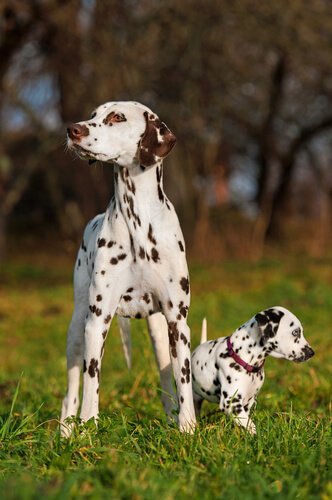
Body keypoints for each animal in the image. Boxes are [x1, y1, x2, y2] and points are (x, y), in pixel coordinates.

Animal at [60, 102, 196, 438]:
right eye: (93, 115)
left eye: (117, 117)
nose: (73, 129)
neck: (138, 222)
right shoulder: (97, 321)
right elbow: (91, 383)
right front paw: (88, 430)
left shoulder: (178, 323)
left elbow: (183, 381)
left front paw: (188, 428)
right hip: (76, 330)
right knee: (71, 391)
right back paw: (66, 432)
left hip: (160, 333)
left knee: (167, 383)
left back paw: (172, 418)